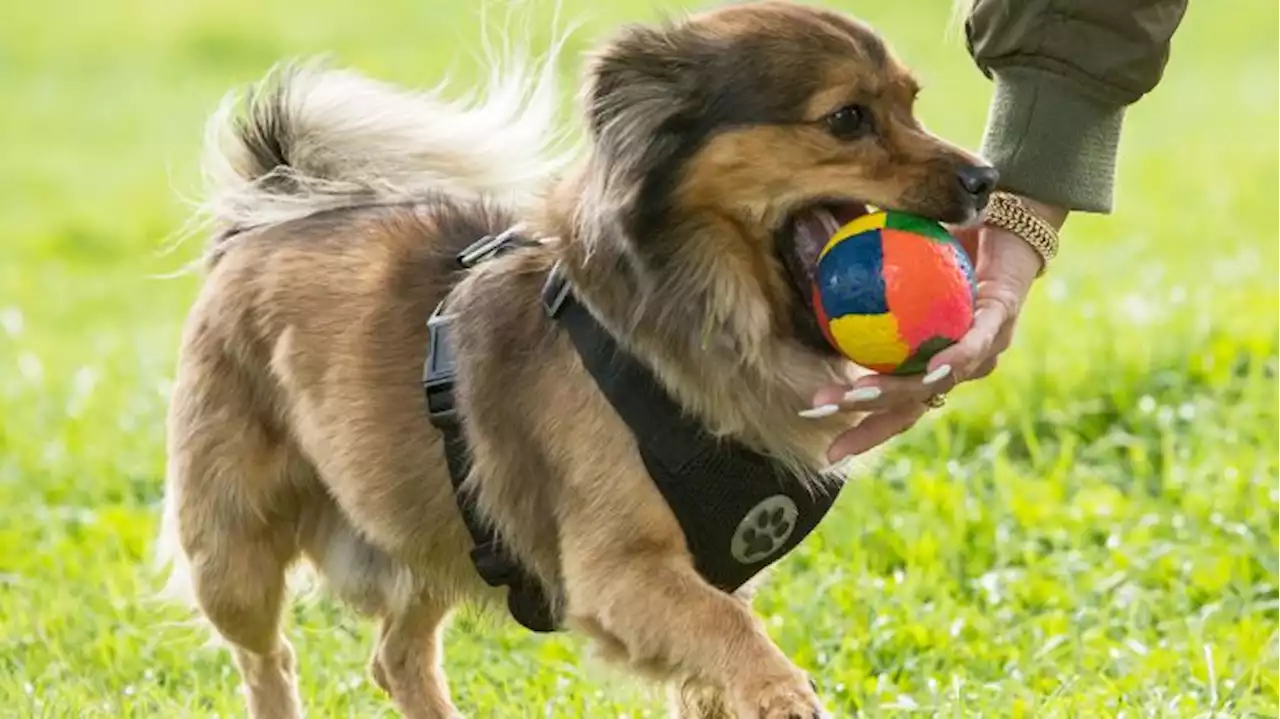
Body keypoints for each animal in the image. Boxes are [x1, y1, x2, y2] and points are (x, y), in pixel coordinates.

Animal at [157, 2, 998, 711]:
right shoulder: (619, 570)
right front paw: (785, 694)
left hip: (431, 518)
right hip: (236, 554)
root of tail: (264, 214)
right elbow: (733, 633)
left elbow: (717, 657)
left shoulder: (711, 574)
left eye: (911, 104)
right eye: (847, 118)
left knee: (395, 656)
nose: (986, 177)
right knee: (267, 657)